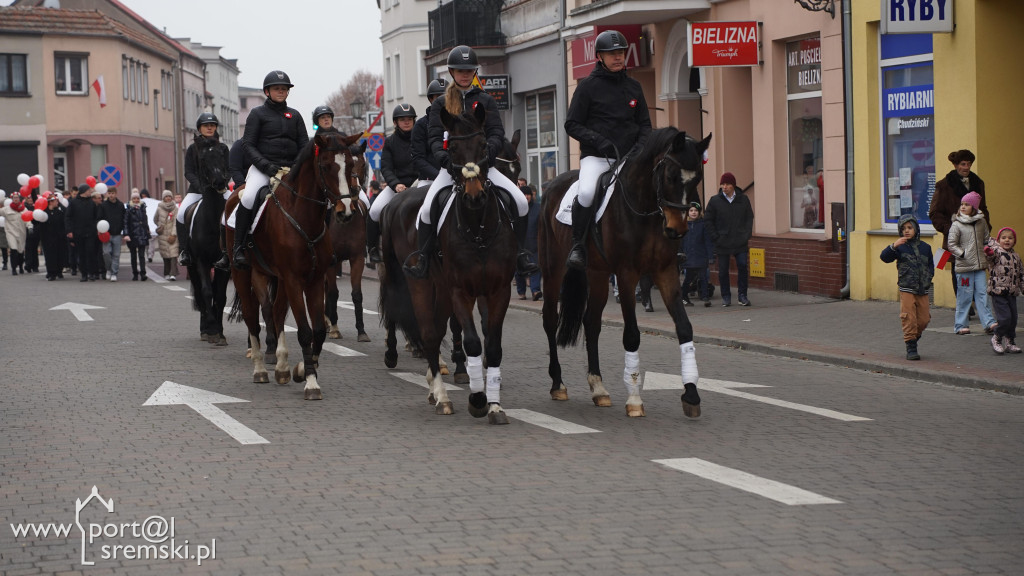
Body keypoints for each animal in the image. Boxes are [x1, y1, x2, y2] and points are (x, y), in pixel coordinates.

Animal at [228, 129, 364, 399]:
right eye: (326, 166)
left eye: (350, 165)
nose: (345, 211)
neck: (302, 216)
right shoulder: (293, 279)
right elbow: (304, 330)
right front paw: (311, 382)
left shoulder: (314, 279)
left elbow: (318, 329)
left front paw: (303, 369)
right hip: (244, 275)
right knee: (252, 318)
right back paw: (260, 369)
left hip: (272, 276)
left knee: (276, 312)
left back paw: (281, 367)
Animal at [378, 105, 520, 422]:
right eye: (451, 148)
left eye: (484, 145)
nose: (475, 195)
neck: (478, 229)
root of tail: (397, 203)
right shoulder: (460, 291)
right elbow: (471, 340)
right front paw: (477, 398)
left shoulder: (498, 290)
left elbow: (492, 343)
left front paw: (495, 404)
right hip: (416, 283)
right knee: (427, 332)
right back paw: (440, 395)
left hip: (440, 289)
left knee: (437, 328)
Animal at [536, 127, 712, 416]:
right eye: (671, 176)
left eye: (697, 176)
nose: (677, 229)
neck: (645, 210)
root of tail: (550, 186)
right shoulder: (627, 275)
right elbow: (631, 334)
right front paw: (635, 400)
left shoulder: (666, 272)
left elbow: (684, 328)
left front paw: (691, 395)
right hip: (553, 270)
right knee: (551, 319)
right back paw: (558, 384)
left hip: (597, 274)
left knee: (591, 322)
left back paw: (598, 388)